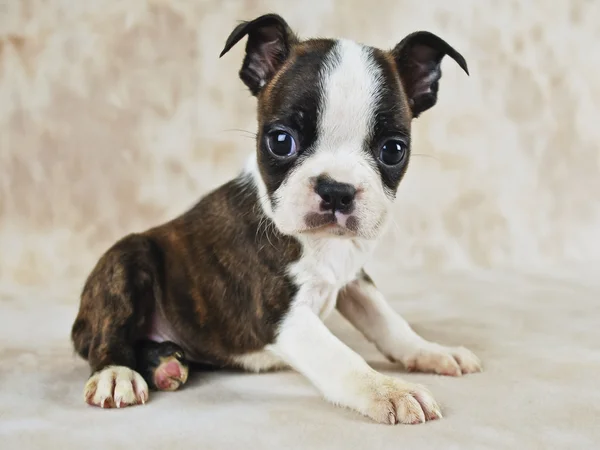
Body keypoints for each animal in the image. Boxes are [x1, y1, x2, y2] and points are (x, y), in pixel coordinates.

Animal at [71, 12, 482, 424]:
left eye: (393, 150)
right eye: (281, 141)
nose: (337, 189)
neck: (321, 244)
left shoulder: (353, 278)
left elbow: (387, 320)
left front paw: (431, 351)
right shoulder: (281, 316)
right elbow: (340, 357)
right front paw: (389, 390)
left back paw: (164, 364)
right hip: (127, 257)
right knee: (110, 330)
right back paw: (116, 373)